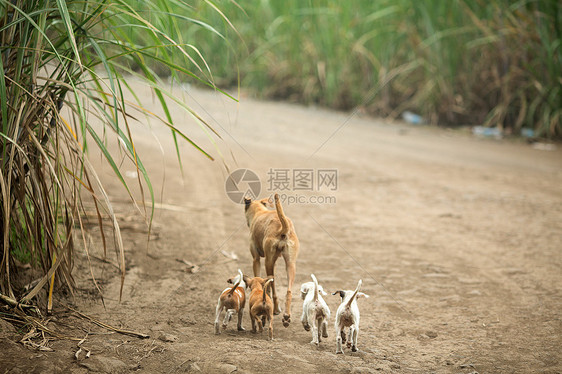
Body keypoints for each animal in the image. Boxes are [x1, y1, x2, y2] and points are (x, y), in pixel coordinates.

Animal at [244, 193, 300, 328]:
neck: (259, 212)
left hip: (268, 263)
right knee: (289, 291)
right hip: (291, 265)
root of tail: (283, 228)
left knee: (271, 288)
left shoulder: (256, 260)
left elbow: (258, 278)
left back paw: (275, 309)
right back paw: (286, 316)